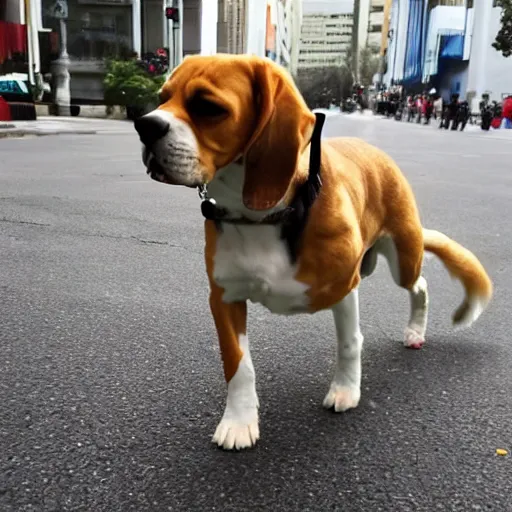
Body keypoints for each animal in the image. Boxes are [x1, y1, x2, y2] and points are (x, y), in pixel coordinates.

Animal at [134, 54, 494, 450]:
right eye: (162, 98)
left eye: (208, 107)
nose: (144, 125)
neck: (264, 214)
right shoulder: (224, 298)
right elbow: (238, 363)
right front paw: (239, 420)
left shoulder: (344, 286)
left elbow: (350, 342)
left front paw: (346, 391)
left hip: (404, 257)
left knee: (420, 285)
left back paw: (415, 330)